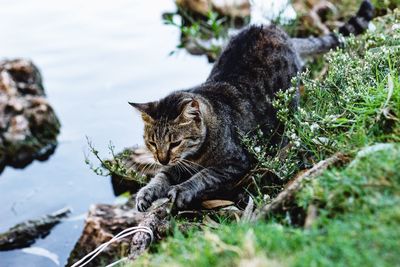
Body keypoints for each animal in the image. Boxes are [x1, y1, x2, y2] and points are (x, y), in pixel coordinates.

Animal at [130, 1, 374, 213]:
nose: (161, 158)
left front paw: (182, 189)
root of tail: (275, 29)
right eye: (152, 143)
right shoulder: (178, 165)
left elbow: (203, 176)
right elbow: (162, 175)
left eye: (175, 143)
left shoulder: (235, 162)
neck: (195, 155)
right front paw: (147, 192)